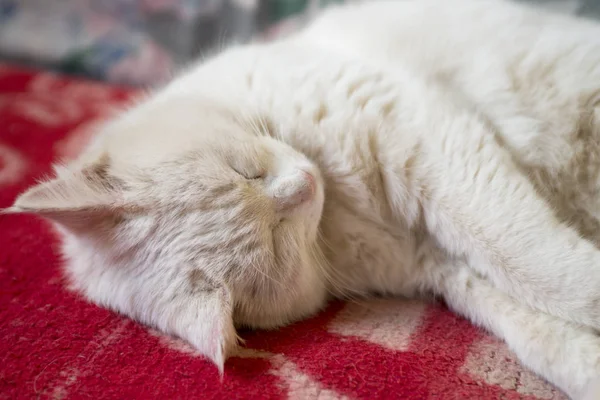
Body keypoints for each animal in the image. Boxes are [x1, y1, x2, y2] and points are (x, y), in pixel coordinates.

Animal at [7, 1, 600, 398]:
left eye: (242, 171)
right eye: (276, 245)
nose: (305, 185)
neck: (340, 209)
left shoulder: (424, 139)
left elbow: (530, 259)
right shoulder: (441, 266)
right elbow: (539, 322)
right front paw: (587, 358)